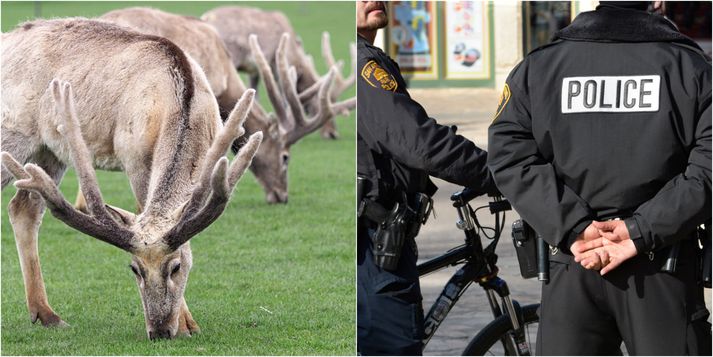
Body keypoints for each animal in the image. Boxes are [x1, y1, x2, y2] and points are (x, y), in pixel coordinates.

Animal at [0, 17, 262, 340]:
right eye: (135, 268)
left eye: (176, 267)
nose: (159, 330)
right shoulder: (133, 156)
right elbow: (144, 210)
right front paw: (185, 324)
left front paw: (190, 324)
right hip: (13, 133)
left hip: (50, 150)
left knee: (24, 207)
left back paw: (46, 314)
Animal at [200, 5, 356, 140]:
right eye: (318, 103)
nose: (333, 134)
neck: (293, 53)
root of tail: (206, 17)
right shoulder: (274, 64)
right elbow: (284, 97)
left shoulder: (254, 70)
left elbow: (255, 93)